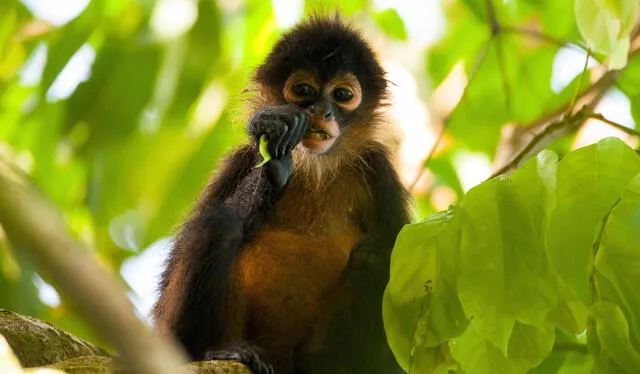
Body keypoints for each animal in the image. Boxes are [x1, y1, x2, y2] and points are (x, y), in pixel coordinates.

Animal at [154, 15, 410, 374]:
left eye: (343, 95)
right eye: (303, 90)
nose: (322, 111)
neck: (315, 168)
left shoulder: (379, 170)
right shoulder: (241, 157)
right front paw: (273, 162)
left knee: (377, 254)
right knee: (221, 221)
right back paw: (215, 349)